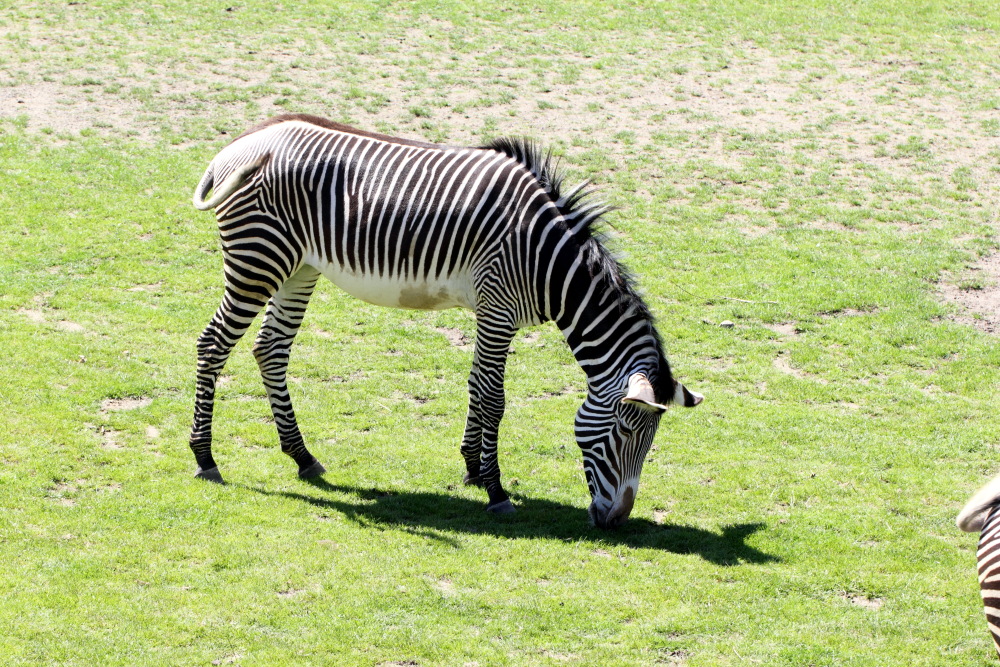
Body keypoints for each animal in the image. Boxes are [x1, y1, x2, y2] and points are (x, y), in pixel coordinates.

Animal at [189, 113, 703, 528]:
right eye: (625, 433)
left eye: (651, 443)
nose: (616, 522)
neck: (550, 262)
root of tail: (241, 142)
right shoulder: (499, 308)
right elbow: (494, 398)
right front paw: (496, 490)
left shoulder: (490, 310)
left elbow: (477, 385)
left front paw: (472, 468)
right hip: (258, 258)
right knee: (213, 344)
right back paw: (206, 458)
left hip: (298, 266)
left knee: (270, 349)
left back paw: (302, 456)